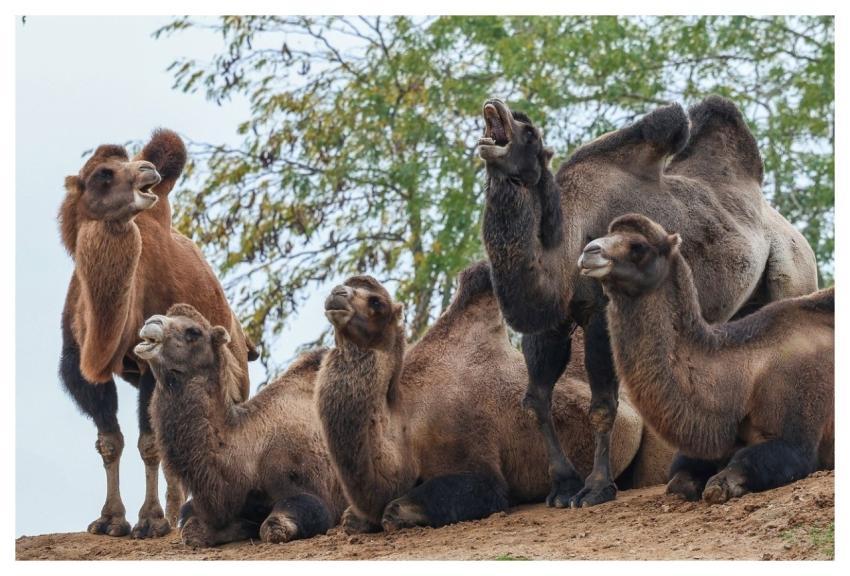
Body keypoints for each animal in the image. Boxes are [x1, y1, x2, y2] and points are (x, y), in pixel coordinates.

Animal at [58, 130, 258, 538]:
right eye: (103, 174)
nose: (147, 171)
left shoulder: (157, 362)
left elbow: (149, 443)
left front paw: (150, 520)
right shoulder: (77, 367)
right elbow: (110, 441)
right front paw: (110, 519)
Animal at [133, 304, 347, 547]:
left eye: (193, 332)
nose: (152, 322)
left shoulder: (314, 493)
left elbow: (274, 526)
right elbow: (191, 530)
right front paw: (241, 525)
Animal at [314, 261, 673, 532]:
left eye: (377, 302)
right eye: (345, 285)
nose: (336, 294)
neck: (405, 425)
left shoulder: (476, 462)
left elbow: (398, 509)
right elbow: (352, 519)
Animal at [579, 213, 834, 503]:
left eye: (638, 246)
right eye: (606, 234)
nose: (589, 252)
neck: (746, 379)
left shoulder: (797, 431)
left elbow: (730, 475)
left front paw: (723, 484)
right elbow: (679, 480)